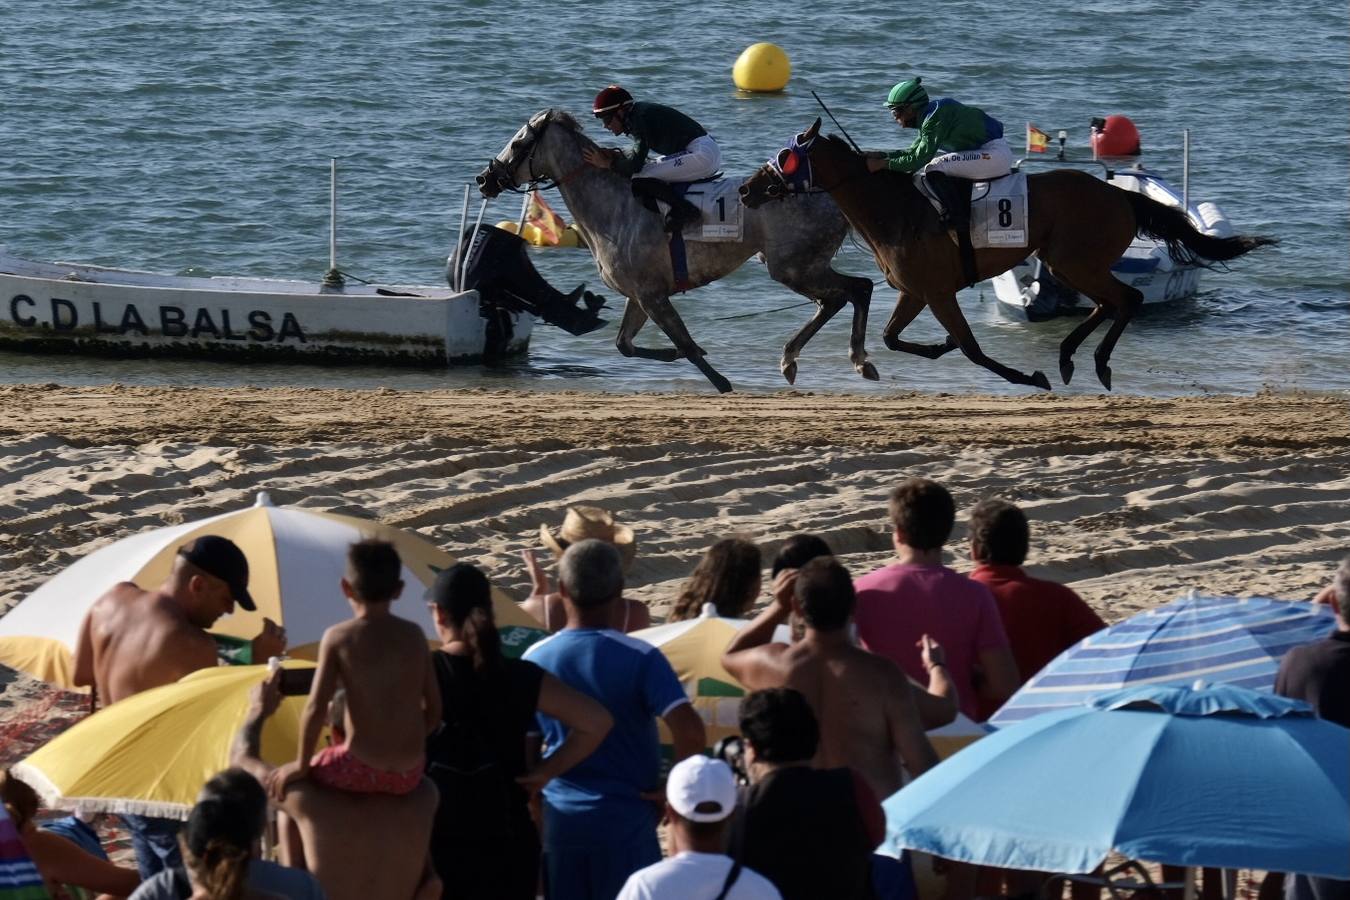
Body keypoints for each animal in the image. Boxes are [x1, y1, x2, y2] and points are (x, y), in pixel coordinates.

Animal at [477, 109, 874, 394]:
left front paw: (719, 380)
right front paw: (674, 354)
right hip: (800, 266)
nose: (484, 179)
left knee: (853, 290)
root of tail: (832, 195)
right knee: (843, 296)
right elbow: (625, 344)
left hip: (793, 266)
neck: (613, 207)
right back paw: (808, 360)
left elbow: (686, 343)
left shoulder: (652, 295)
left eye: (518, 145)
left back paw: (844, 359)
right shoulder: (639, 295)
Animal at [739, 118, 1274, 388]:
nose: (746, 189)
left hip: (1075, 260)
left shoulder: (937, 292)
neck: (895, 210)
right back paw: (1068, 357)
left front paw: (1026, 376)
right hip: (1066, 262)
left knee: (1128, 300)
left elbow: (973, 350)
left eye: (785, 157)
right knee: (1110, 302)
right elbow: (893, 339)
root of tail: (1119, 194)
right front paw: (939, 346)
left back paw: (1092, 363)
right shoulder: (916, 291)